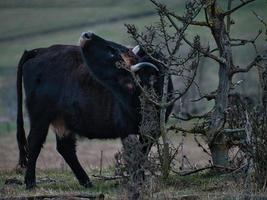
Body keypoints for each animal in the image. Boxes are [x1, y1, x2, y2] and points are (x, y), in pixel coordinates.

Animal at [16, 31, 174, 189]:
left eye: (113, 53)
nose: (87, 34)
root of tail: (39, 51)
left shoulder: (152, 130)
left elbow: (142, 153)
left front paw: (140, 180)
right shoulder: (125, 128)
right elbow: (133, 154)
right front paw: (137, 181)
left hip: (61, 120)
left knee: (65, 148)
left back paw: (86, 182)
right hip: (40, 116)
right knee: (34, 142)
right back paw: (30, 182)